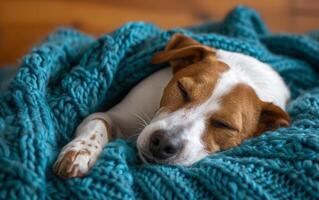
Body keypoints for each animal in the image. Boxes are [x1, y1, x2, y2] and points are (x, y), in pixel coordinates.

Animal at [53, 34, 292, 178]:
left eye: (224, 125)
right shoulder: (113, 116)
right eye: (182, 88)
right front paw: (80, 151)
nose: (163, 144)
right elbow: (98, 124)